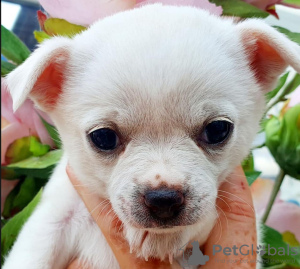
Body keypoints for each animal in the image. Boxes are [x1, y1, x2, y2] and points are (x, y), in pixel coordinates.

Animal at [2, 4, 300, 268]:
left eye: (218, 130)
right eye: (103, 137)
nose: (163, 199)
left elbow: (208, 214)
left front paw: (165, 238)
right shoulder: (52, 223)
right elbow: (32, 256)